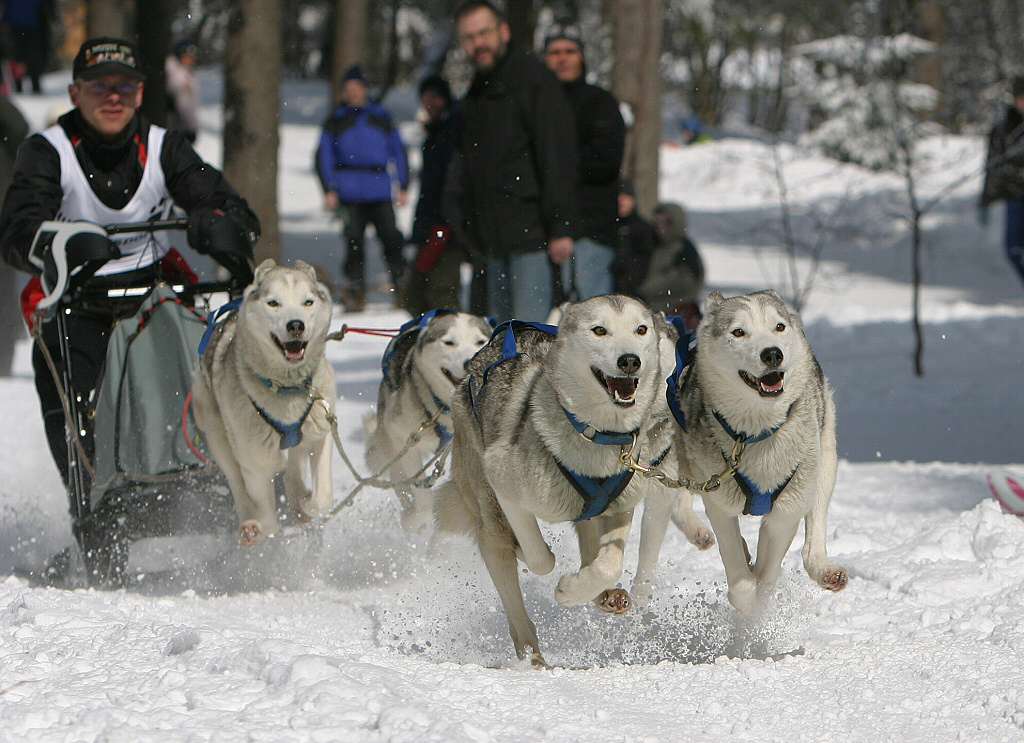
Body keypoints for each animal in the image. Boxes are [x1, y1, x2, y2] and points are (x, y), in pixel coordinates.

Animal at [192, 260, 335, 548]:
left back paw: (298, 499)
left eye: (308, 302)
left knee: (294, 465)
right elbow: (268, 519)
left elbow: (322, 500)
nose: (295, 325)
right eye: (273, 303)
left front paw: (307, 504)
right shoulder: (254, 462)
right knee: (237, 483)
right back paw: (249, 525)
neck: (286, 387)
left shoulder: (320, 433)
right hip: (219, 438)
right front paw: (264, 530)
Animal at [366, 311, 493, 532]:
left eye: (480, 341)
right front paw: (411, 519)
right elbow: (422, 502)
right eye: (449, 342)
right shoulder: (401, 436)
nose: (470, 361)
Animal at [436, 294, 675, 667]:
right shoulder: (503, 481)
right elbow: (539, 558)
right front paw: (546, 570)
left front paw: (581, 588)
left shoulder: (622, 502)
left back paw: (603, 594)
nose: (630, 361)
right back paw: (533, 659)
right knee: (511, 591)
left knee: (590, 540)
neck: (597, 434)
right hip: (488, 507)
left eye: (641, 329)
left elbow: (609, 563)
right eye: (599, 330)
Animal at [667, 290, 843, 618]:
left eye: (778, 327)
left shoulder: (786, 511)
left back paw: (822, 567)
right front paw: (747, 606)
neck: (757, 432)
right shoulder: (719, 504)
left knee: (813, 533)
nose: (772, 354)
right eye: (738, 332)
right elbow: (741, 579)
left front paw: (759, 599)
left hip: (824, 464)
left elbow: (767, 573)